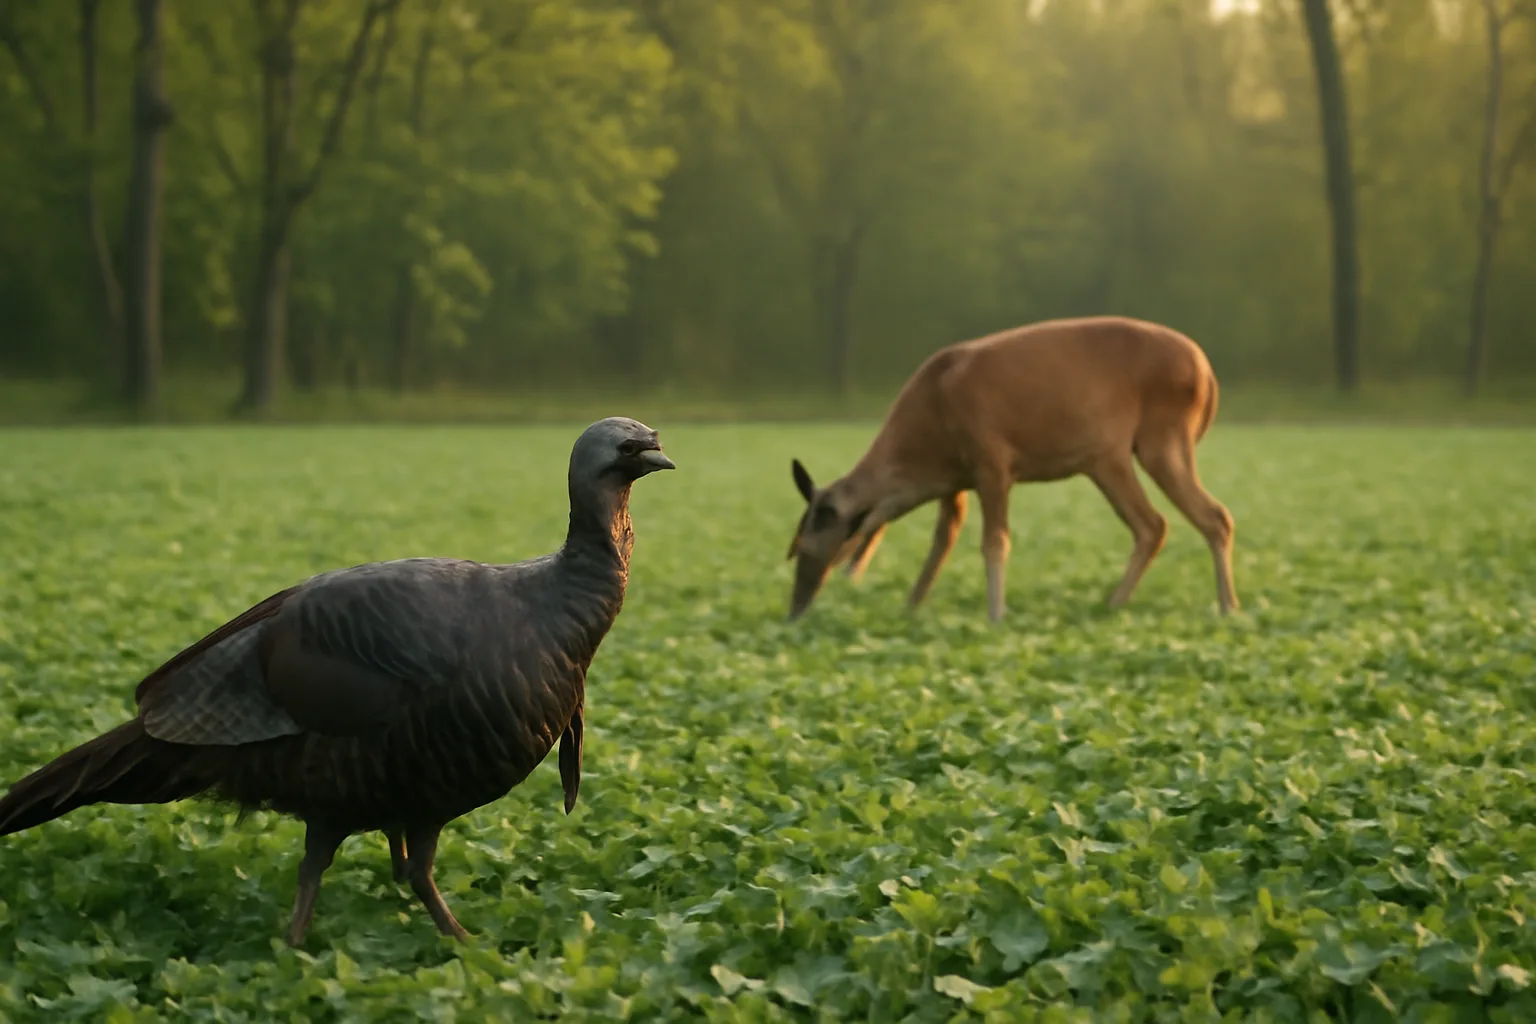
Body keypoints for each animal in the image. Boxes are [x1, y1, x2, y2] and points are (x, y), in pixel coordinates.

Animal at [785, 315, 1239, 623]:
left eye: (805, 545)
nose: (795, 609)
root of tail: (1208, 375)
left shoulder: (992, 459)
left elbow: (994, 541)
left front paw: (995, 616)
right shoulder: (955, 479)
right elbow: (942, 539)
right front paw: (911, 607)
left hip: (1150, 441)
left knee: (1189, 519)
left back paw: (1217, 607)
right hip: (1111, 456)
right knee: (1168, 523)